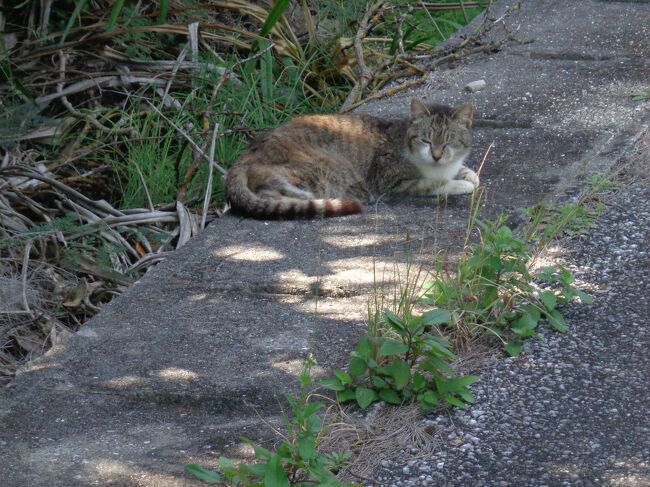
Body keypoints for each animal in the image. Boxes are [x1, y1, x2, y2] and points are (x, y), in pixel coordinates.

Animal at [225, 99, 478, 219]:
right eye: (426, 140)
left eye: (448, 142)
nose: (436, 155)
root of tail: (245, 154)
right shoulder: (390, 183)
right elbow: (434, 183)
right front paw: (460, 184)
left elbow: (461, 169)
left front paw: (469, 174)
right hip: (321, 168)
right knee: (273, 194)